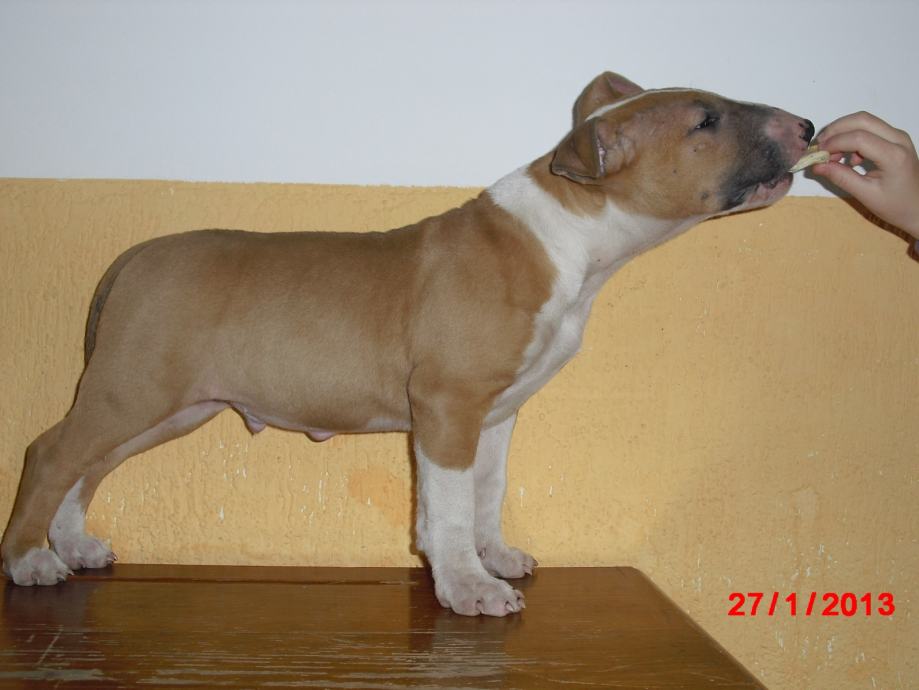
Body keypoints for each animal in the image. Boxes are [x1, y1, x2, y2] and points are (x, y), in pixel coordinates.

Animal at [1, 72, 813, 616]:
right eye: (705, 120)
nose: (806, 126)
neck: (570, 237)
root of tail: (135, 256)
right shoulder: (447, 405)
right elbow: (446, 506)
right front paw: (467, 587)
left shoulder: (495, 414)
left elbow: (486, 491)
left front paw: (494, 557)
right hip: (133, 387)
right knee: (51, 452)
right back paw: (31, 558)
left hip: (170, 403)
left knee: (87, 462)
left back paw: (72, 544)